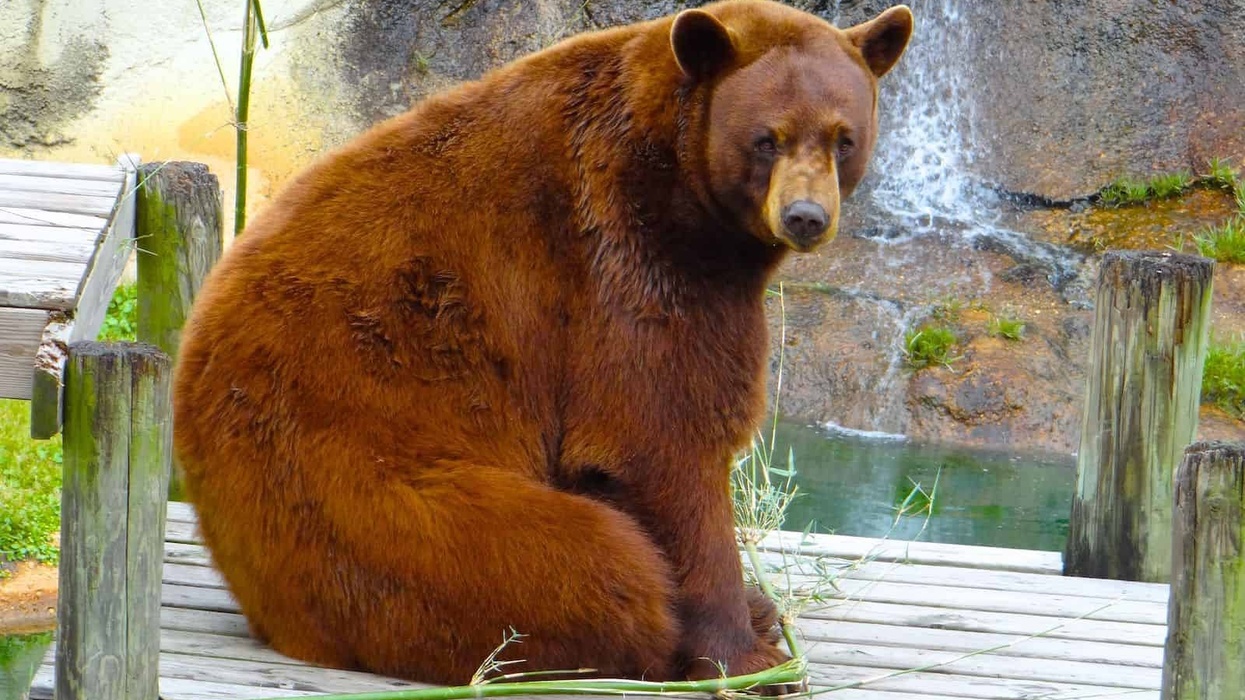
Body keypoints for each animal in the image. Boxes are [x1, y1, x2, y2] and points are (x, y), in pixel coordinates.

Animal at [172, 0, 912, 686]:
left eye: (843, 138)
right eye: (767, 138)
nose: (805, 216)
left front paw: (752, 626)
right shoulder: (623, 262)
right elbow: (660, 439)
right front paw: (751, 658)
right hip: (364, 497)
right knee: (587, 560)